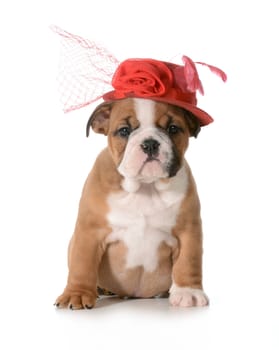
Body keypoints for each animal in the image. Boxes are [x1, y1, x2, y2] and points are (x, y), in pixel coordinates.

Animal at [54, 97, 209, 308]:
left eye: (173, 128)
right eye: (124, 131)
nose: (150, 143)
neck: (145, 187)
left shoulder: (188, 231)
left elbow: (188, 261)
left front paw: (188, 292)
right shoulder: (89, 232)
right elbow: (82, 264)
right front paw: (76, 294)